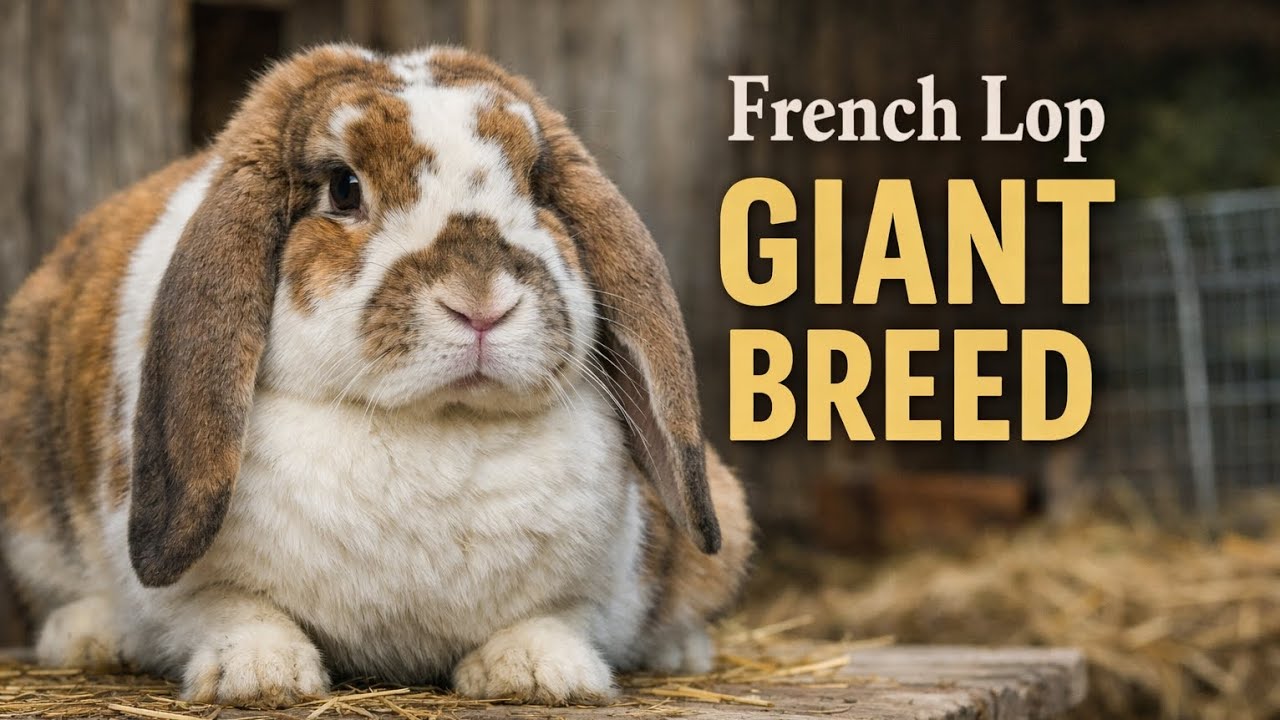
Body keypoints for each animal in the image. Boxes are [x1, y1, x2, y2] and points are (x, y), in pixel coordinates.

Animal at [0, 44, 751, 708]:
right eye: (344, 187)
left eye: (538, 183)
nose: (482, 303)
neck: (438, 431)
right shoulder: (176, 590)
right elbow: (225, 610)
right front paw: (262, 674)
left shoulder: (607, 585)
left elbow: (563, 617)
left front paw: (541, 673)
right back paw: (86, 636)